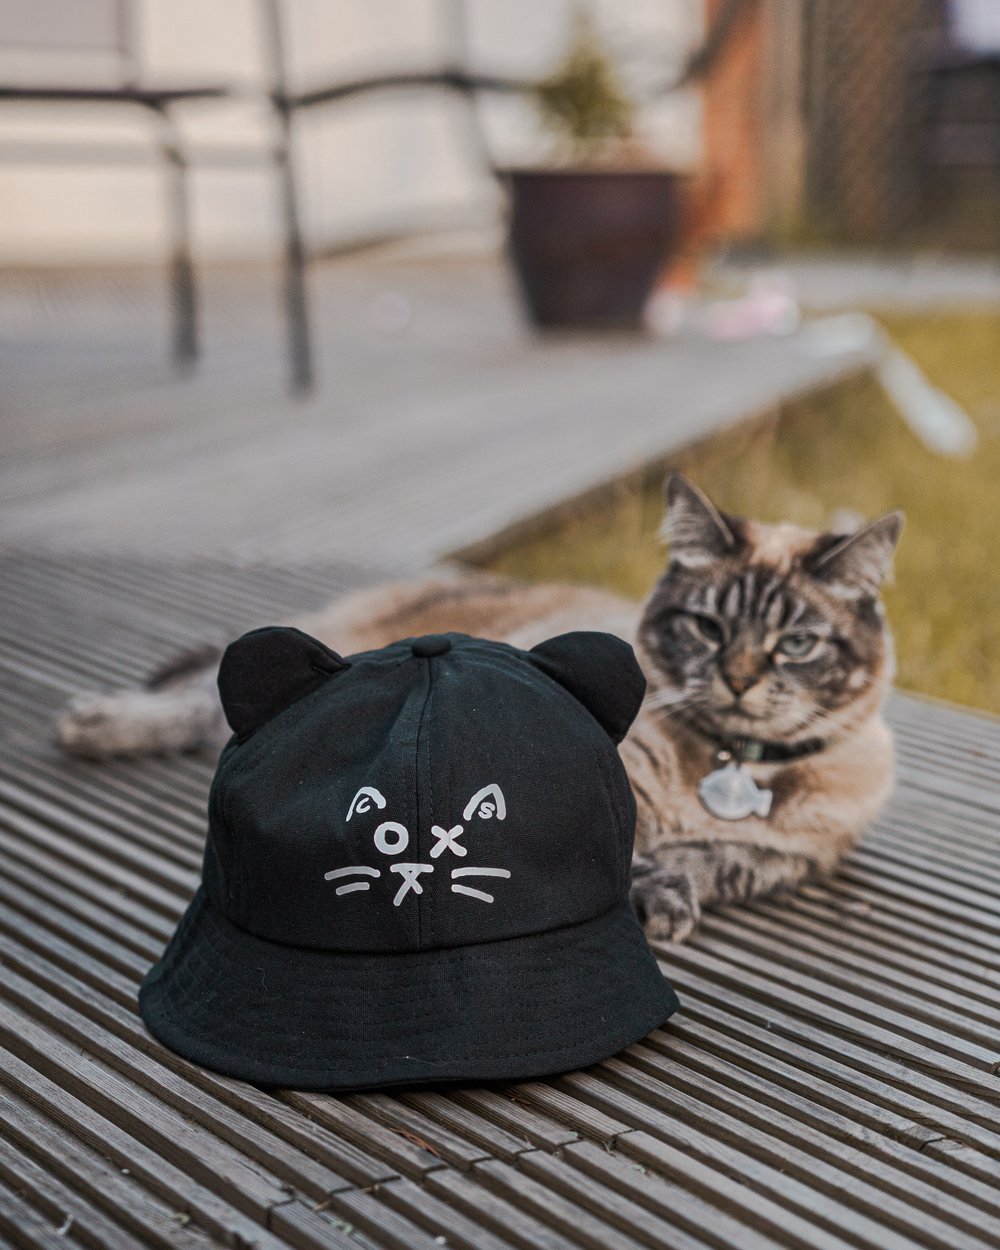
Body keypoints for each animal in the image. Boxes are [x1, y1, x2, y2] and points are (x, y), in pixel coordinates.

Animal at [58, 475, 900, 940]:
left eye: (796, 644)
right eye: (709, 628)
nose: (738, 680)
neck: (724, 765)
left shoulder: (782, 860)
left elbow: (703, 860)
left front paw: (668, 893)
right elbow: (624, 851)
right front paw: (651, 898)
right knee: (207, 696)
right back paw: (94, 725)